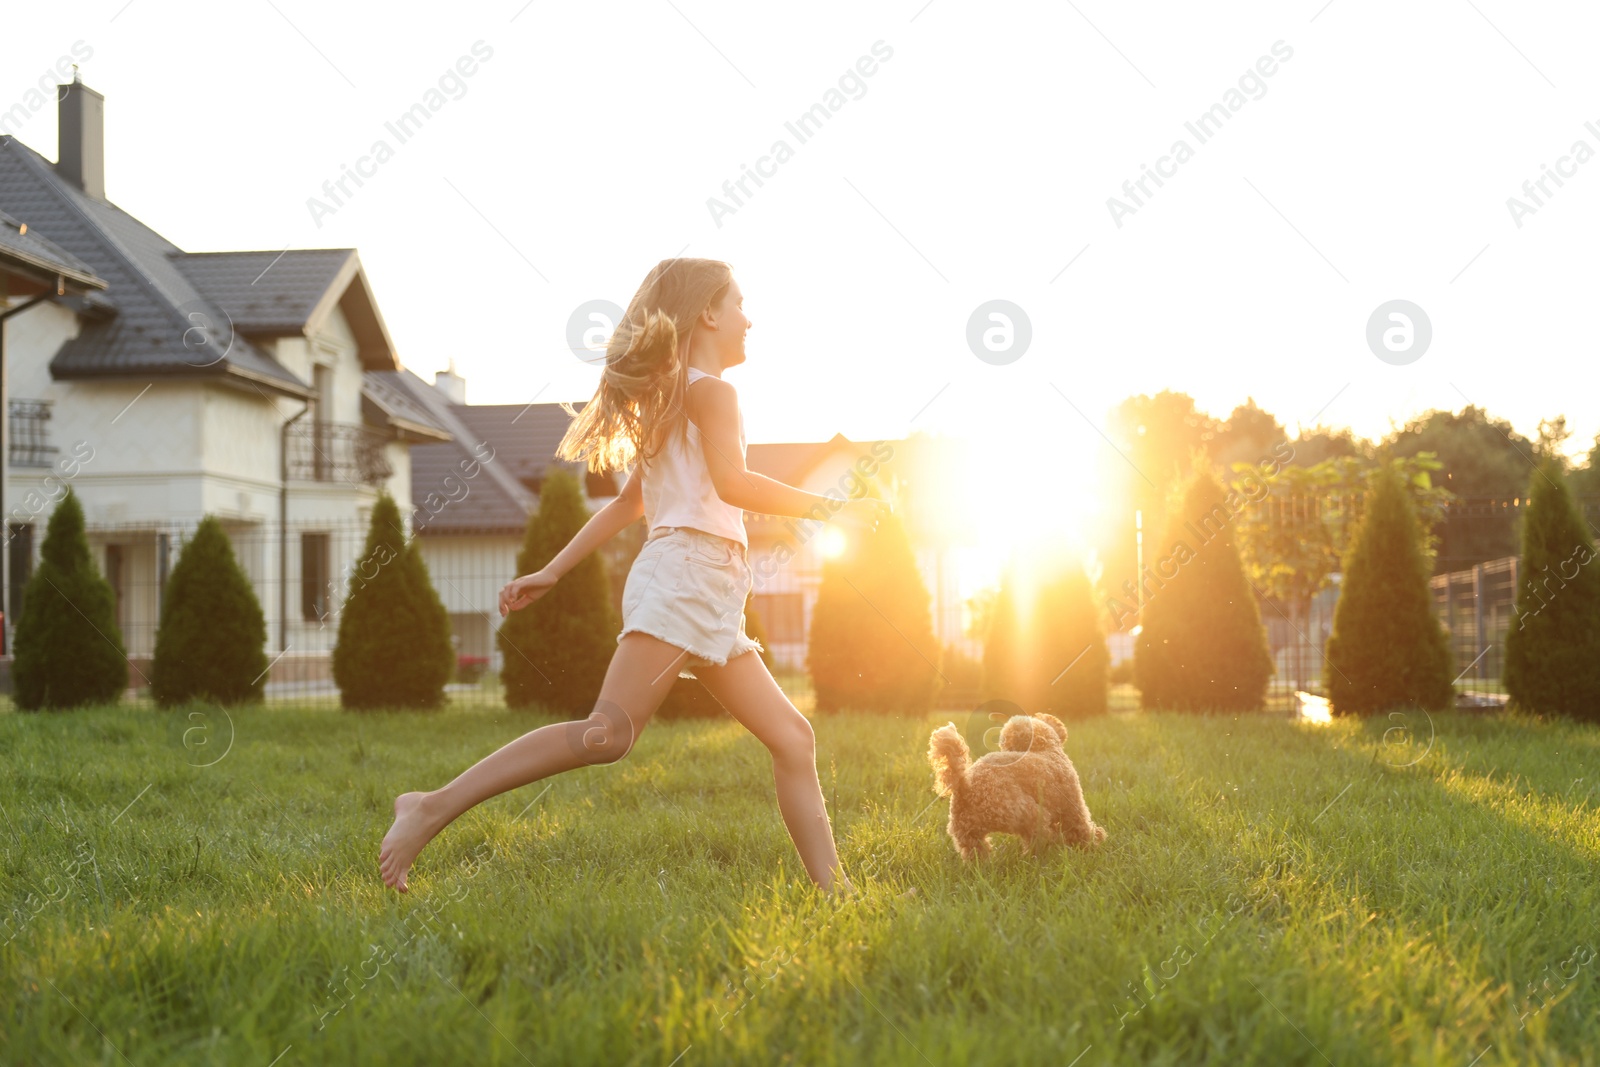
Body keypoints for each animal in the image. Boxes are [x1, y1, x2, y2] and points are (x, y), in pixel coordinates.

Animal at [934, 713, 1107, 863]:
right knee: (1038, 838)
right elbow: (1082, 829)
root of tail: (965, 784)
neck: (1045, 749)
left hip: (968, 834)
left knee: (976, 852)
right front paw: (1092, 844)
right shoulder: (1072, 805)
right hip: (1027, 813)